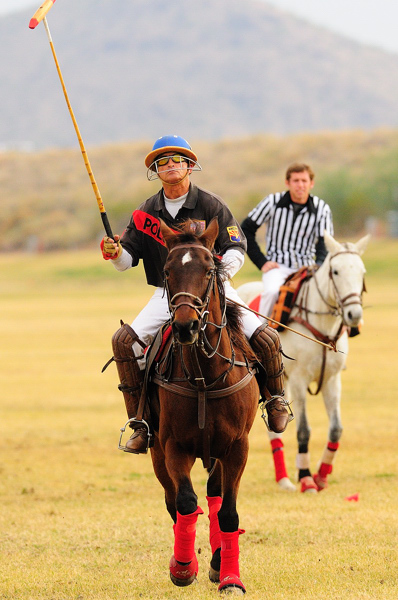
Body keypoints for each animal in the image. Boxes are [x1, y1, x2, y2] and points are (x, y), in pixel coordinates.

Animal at [146, 218, 258, 592]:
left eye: (209, 270)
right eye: (167, 271)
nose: (186, 326)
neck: (205, 379)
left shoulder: (237, 447)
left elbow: (228, 512)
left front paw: (230, 577)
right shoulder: (172, 446)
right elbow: (184, 502)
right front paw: (182, 567)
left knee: (215, 495)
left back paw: (218, 560)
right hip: (156, 451)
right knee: (176, 502)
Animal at [236, 230, 370, 492]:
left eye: (362, 272)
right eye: (335, 271)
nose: (354, 315)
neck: (323, 326)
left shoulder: (331, 380)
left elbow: (336, 429)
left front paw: (322, 475)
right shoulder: (299, 379)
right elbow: (304, 430)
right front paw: (307, 477)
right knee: (274, 431)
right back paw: (285, 479)